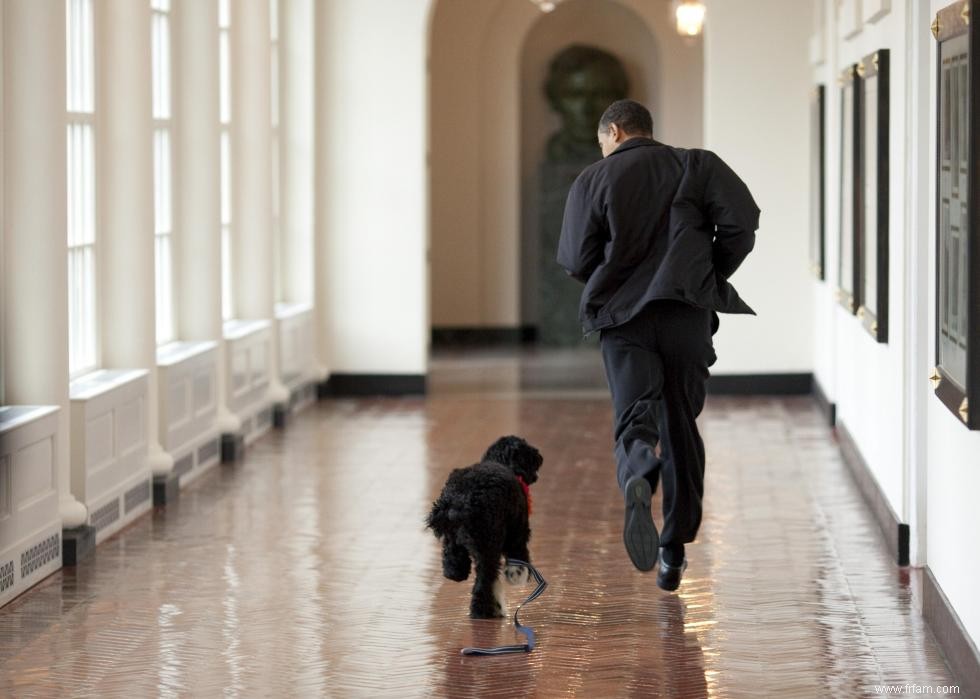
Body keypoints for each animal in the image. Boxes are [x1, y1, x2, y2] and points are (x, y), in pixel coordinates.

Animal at [424, 438, 540, 616]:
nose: (540, 458)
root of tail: (459, 500)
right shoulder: (518, 532)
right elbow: (519, 559)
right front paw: (516, 576)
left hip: (456, 539)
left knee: (453, 561)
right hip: (489, 544)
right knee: (483, 581)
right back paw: (481, 610)